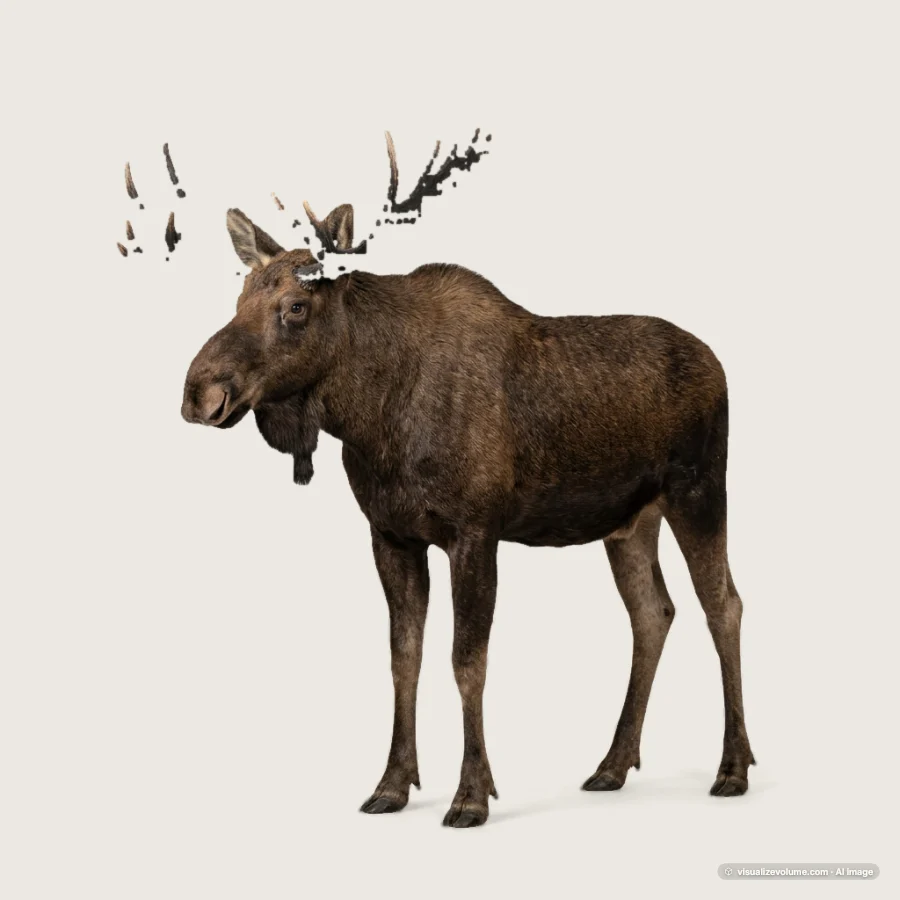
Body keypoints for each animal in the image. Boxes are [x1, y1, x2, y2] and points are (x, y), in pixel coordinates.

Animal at [180, 131, 755, 828]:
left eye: (294, 306)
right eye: (238, 297)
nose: (200, 393)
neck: (367, 411)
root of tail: (718, 364)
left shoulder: (474, 531)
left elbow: (467, 661)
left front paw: (471, 794)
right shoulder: (390, 535)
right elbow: (404, 658)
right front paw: (392, 784)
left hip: (700, 490)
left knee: (724, 605)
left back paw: (732, 768)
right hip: (627, 522)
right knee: (654, 612)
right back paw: (613, 764)